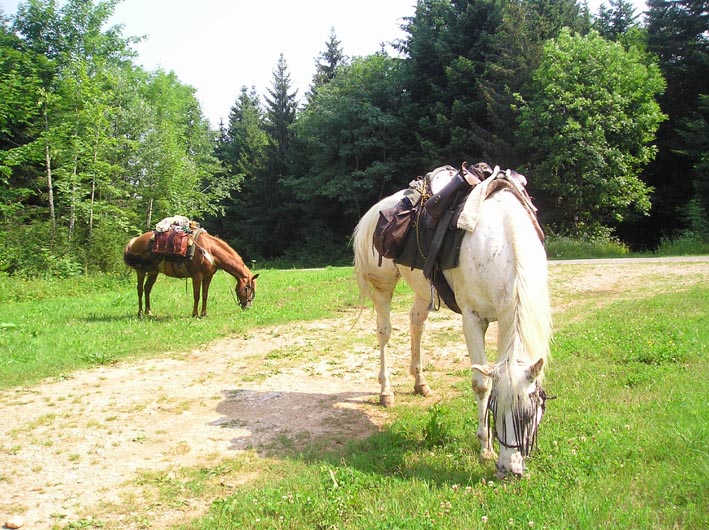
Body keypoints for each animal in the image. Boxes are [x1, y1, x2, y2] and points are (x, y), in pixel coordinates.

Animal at [123, 229, 258, 316]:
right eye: (248, 288)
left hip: (153, 272)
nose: (248, 307)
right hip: (140, 271)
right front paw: (194, 314)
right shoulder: (197, 276)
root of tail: (135, 240)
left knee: (147, 289)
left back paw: (148, 311)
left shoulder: (208, 277)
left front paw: (204, 314)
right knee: (140, 290)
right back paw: (140, 313)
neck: (209, 250)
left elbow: (205, 295)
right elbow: (196, 295)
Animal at [354, 168, 552, 474]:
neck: (501, 243)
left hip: (422, 290)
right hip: (383, 287)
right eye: (495, 410)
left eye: (530, 414)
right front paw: (484, 447)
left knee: (416, 323)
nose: (509, 470)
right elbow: (482, 384)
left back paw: (420, 384)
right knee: (384, 332)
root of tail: (376, 209)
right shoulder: (473, 319)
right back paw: (386, 392)